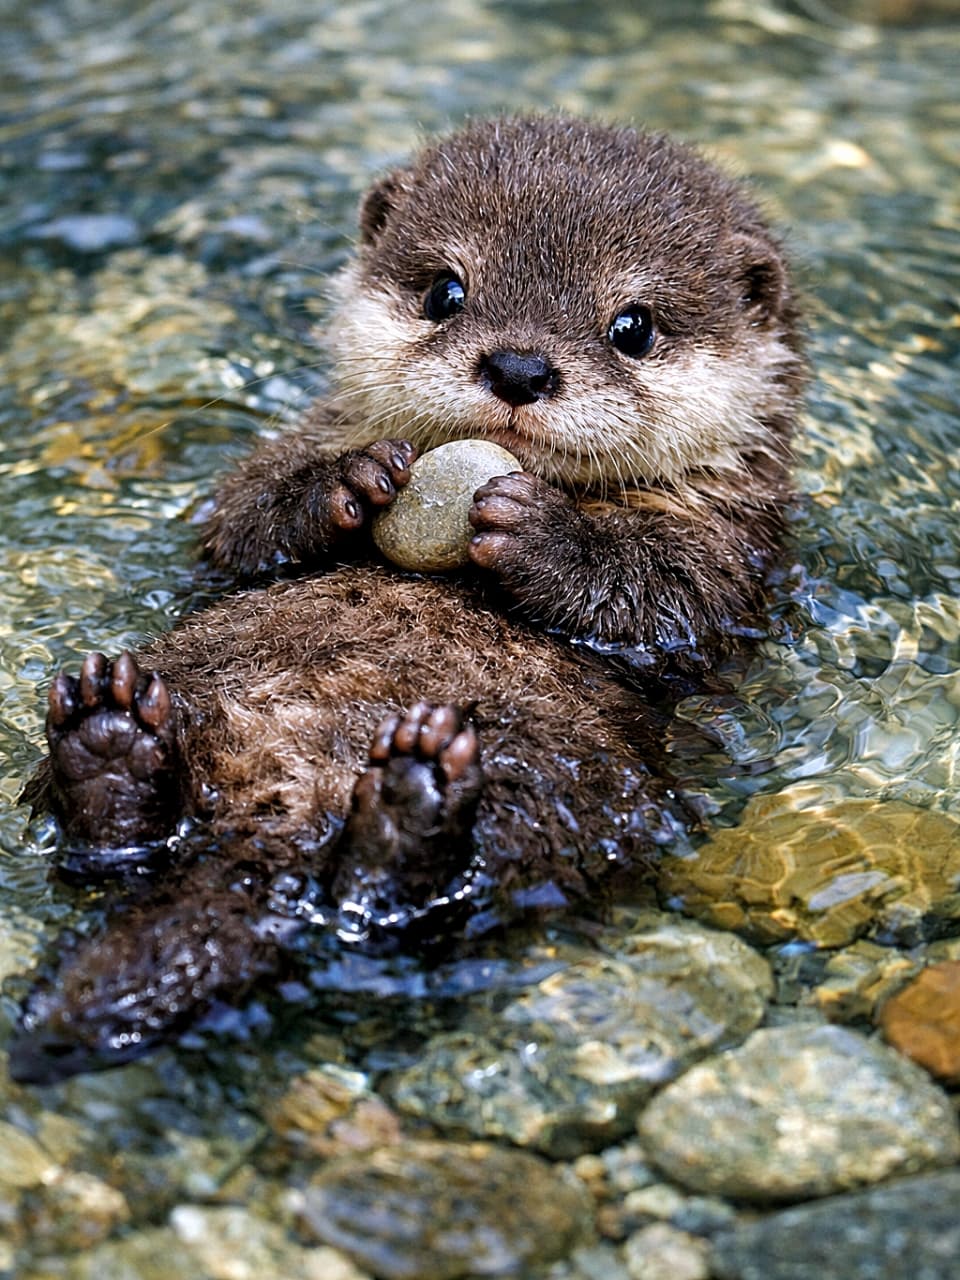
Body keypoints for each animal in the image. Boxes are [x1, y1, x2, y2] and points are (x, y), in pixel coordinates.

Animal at [10, 116, 804, 1083]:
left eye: (634, 326)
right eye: (445, 291)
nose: (519, 366)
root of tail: (276, 819)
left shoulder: (737, 549)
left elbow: (664, 595)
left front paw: (538, 530)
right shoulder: (274, 470)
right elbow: (236, 524)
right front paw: (350, 482)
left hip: (558, 785)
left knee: (408, 896)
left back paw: (411, 797)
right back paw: (111, 737)